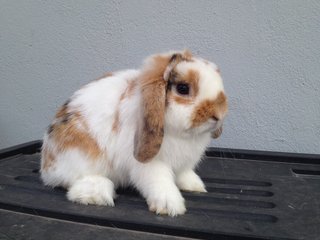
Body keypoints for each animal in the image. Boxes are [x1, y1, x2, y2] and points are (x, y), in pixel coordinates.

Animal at [40, 49, 228, 217]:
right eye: (183, 88)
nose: (218, 115)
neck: (183, 135)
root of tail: (45, 166)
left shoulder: (183, 164)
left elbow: (184, 174)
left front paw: (195, 186)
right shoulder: (150, 164)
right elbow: (160, 182)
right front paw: (170, 206)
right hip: (80, 154)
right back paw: (96, 194)